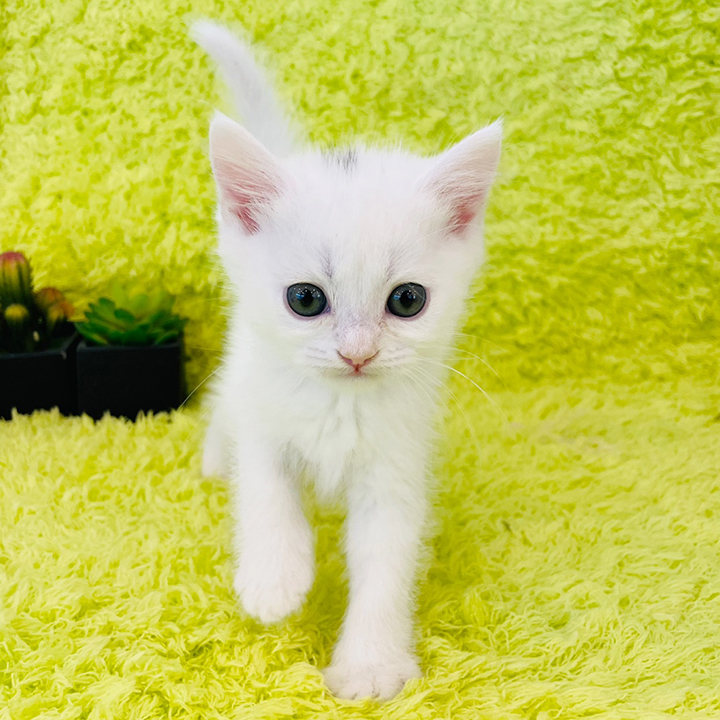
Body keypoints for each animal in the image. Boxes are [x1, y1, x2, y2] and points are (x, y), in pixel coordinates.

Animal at [192, 21, 502, 701]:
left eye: (407, 301)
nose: (357, 352)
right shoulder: (265, 411)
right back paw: (214, 459)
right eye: (306, 299)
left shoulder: (397, 464)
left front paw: (370, 665)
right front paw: (274, 578)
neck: (342, 403)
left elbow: (384, 560)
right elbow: (266, 487)